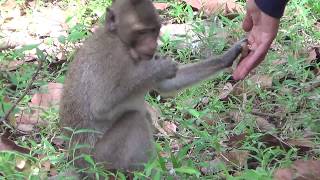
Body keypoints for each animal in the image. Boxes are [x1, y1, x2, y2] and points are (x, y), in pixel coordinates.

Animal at [60, 0, 249, 176]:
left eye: (154, 31)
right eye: (141, 32)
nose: (152, 46)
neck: (123, 43)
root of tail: (78, 163)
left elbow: (167, 85)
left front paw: (228, 56)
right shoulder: (112, 57)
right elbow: (101, 106)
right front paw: (157, 69)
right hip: (102, 159)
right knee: (135, 119)